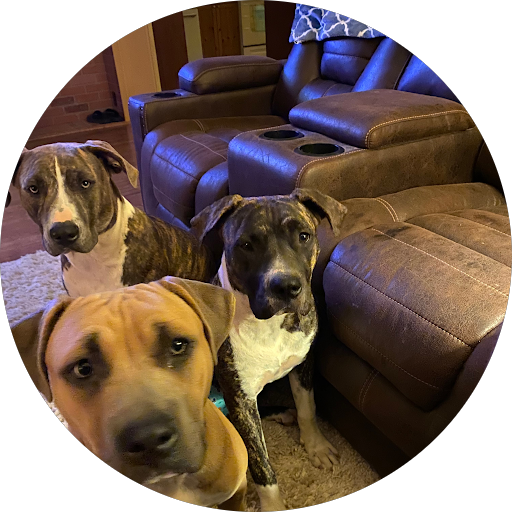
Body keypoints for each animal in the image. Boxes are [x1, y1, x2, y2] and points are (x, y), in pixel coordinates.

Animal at [191, 188, 348, 511]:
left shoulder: (303, 363)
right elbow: (260, 463)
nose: (286, 286)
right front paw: (273, 504)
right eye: (246, 245)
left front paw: (315, 445)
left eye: (304, 236)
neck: (270, 326)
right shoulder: (240, 399)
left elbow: (308, 407)